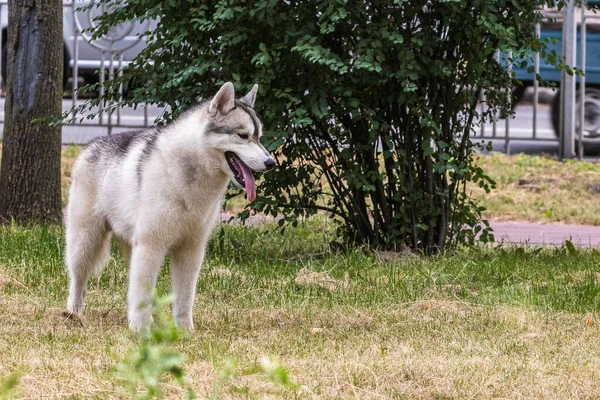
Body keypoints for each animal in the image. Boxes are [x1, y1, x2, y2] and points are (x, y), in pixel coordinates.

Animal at [64, 82, 274, 332]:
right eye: (243, 136)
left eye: (259, 137)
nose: (271, 162)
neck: (190, 172)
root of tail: (90, 145)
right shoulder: (151, 245)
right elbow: (142, 293)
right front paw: (140, 330)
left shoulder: (191, 250)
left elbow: (184, 297)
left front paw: (185, 331)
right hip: (85, 242)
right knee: (78, 278)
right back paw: (73, 313)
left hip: (130, 247)